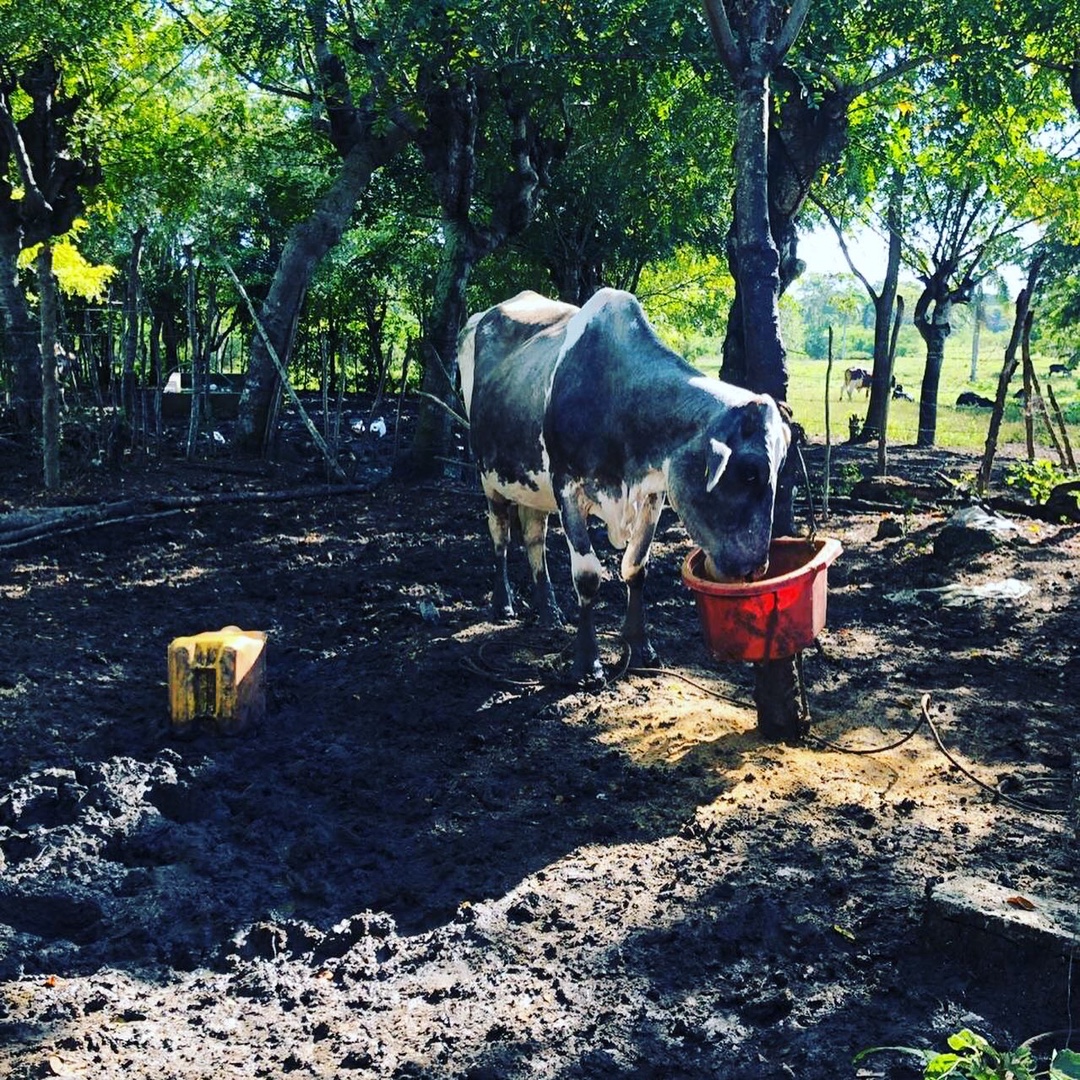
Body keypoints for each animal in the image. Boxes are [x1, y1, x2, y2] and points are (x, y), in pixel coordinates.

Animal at [457, 287, 794, 682]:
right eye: (749, 472)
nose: (756, 570)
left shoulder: (653, 493)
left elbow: (636, 566)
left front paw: (640, 645)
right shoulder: (567, 488)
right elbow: (587, 574)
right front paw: (588, 663)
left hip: (531, 484)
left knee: (533, 536)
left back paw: (549, 611)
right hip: (488, 475)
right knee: (500, 534)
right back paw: (504, 604)